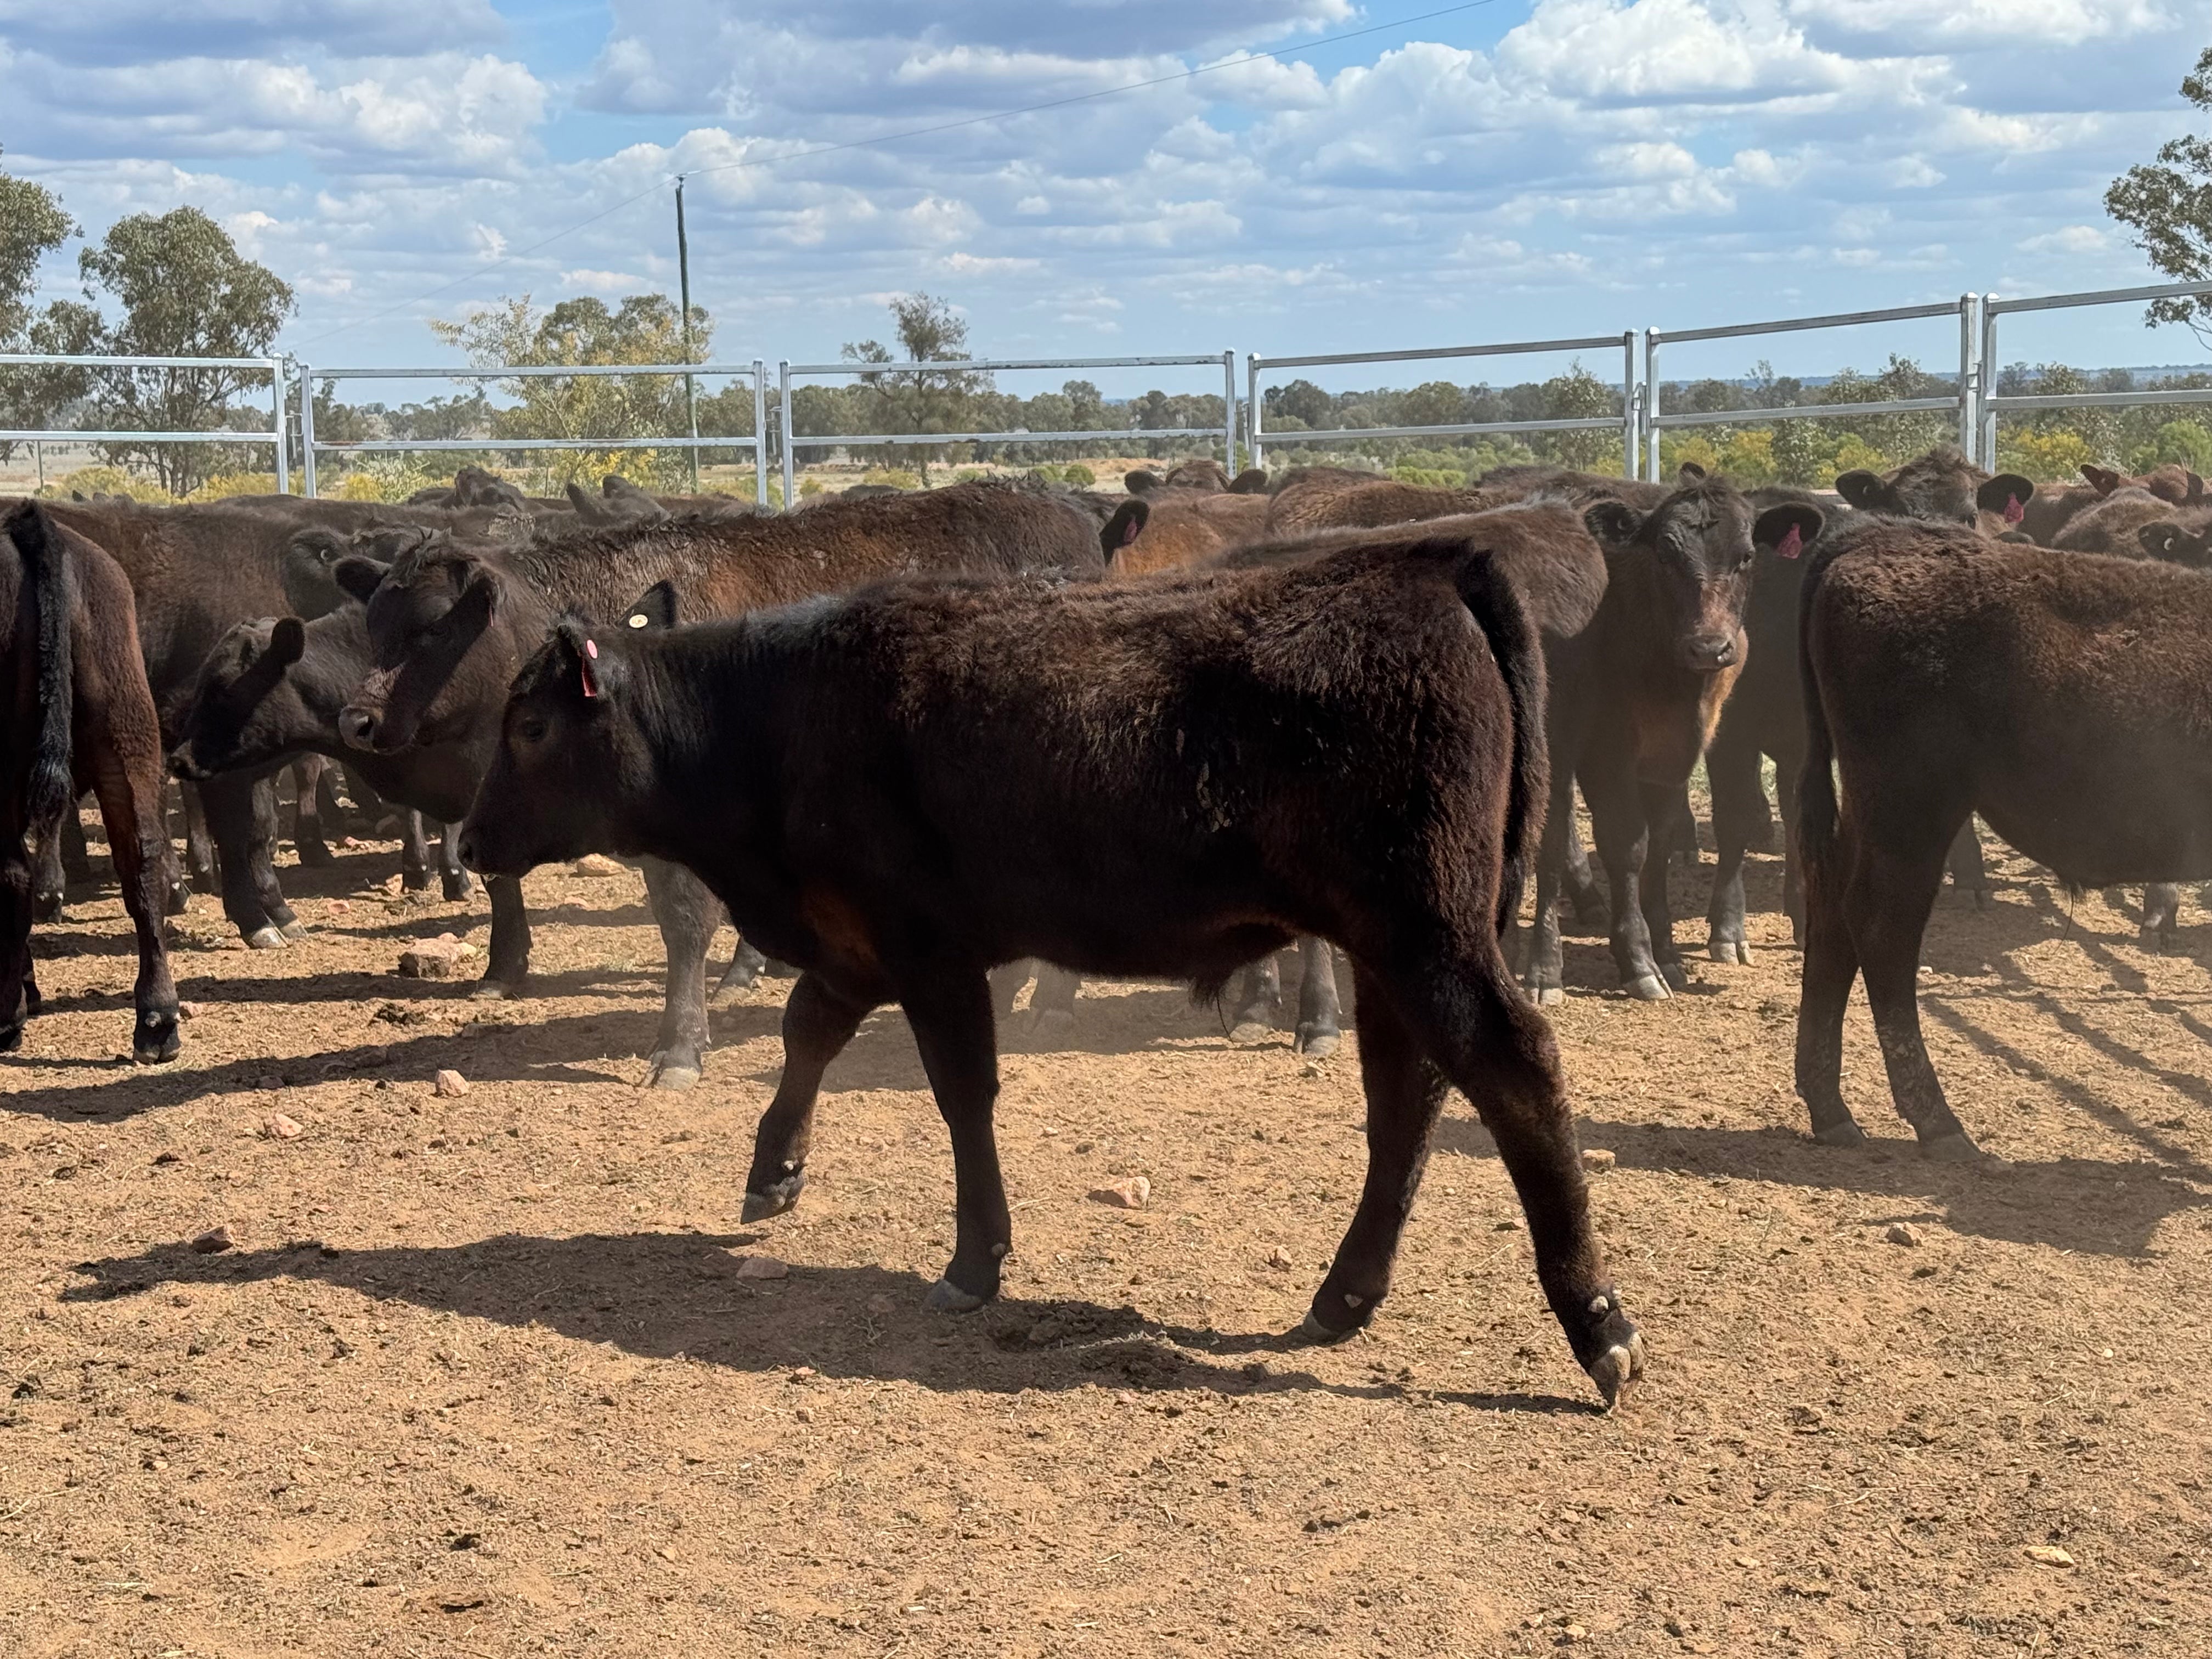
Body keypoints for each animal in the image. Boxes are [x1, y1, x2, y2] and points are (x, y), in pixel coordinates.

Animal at [454, 531, 1646, 1406]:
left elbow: (959, 1093)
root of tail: (1434, 565)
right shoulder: (859, 941)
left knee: (1515, 1072)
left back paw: (1599, 1326)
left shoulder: (930, 951)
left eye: (530, 723)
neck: (778, 715)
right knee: (1406, 1098)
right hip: (1389, 946)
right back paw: (1344, 1296)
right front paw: (773, 1170)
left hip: (1426, 932)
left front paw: (973, 1261)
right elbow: (807, 1028)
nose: (466, 840)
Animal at [1794, 515, 2212, 1156]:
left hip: (1874, 809)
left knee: (1835, 909)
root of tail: (1881, 537)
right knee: (1883, 925)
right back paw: (1940, 1125)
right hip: (1913, 808)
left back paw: (1832, 1112)